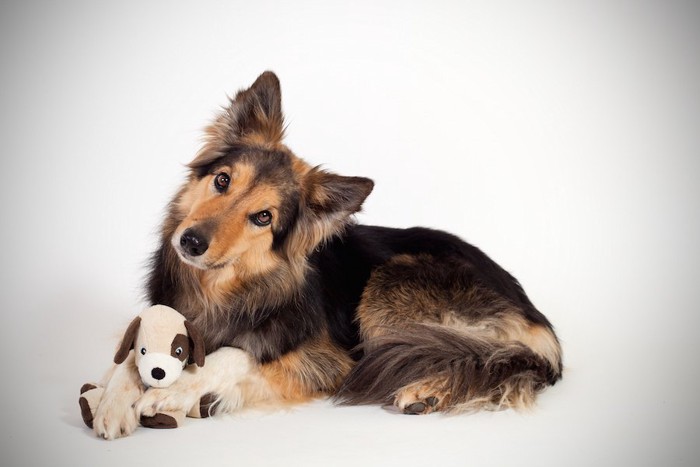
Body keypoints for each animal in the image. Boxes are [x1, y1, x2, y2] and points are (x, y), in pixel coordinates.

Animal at [87, 71, 560, 440]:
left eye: (263, 217)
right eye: (222, 180)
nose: (190, 242)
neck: (222, 286)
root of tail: (533, 312)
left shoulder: (330, 359)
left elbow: (234, 353)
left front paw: (173, 391)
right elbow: (131, 355)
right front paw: (113, 401)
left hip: (393, 282)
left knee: (487, 361)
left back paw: (425, 391)